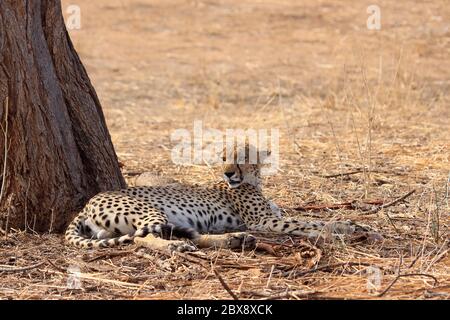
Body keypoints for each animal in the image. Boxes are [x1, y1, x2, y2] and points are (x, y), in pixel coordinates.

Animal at [64, 144, 380, 251]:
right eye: (225, 157)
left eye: (243, 157)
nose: (228, 173)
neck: (255, 182)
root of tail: (89, 202)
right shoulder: (264, 222)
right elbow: (305, 223)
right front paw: (336, 231)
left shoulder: (270, 217)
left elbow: (311, 218)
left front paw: (354, 226)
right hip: (150, 212)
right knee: (145, 235)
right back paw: (177, 247)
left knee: (185, 233)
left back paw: (232, 240)